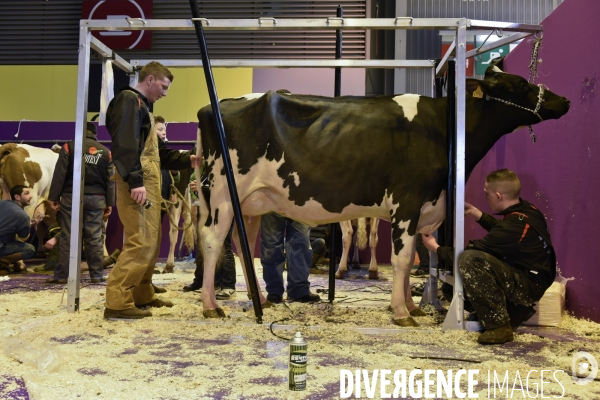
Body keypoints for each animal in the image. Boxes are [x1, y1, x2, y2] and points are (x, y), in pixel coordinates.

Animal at [198, 65, 572, 324]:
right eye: (521, 84)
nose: (565, 100)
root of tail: (215, 105)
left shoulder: (421, 207)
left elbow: (410, 259)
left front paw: (411, 306)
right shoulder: (407, 201)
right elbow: (403, 259)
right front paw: (402, 313)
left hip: (250, 203)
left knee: (242, 243)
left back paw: (259, 299)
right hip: (223, 193)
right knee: (212, 241)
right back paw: (211, 305)